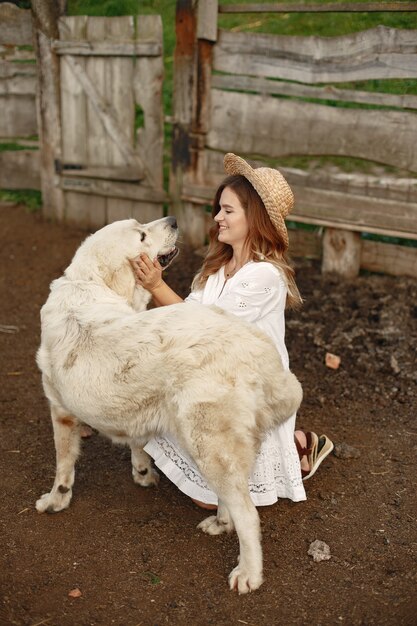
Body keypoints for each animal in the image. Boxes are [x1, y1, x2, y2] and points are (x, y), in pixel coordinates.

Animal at [35, 217, 300, 592]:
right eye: (142, 234)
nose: (173, 220)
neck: (90, 284)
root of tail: (252, 345)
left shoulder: (60, 412)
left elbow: (63, 466)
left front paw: (56, 501)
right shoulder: (130, 405)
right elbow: (136, 442)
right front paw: (143, 473)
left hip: (207, 442)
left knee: (248, 514)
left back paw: (248, 573)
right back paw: (220, 523)